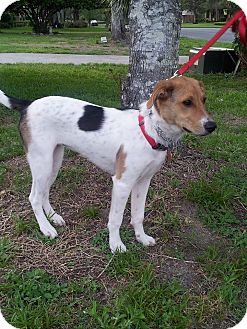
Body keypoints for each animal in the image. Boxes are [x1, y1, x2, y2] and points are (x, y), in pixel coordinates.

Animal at [0, 76, 216, 251]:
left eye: (204, 100)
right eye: (187, 102)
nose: (212, 126)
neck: (150, 129)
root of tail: (28, 104)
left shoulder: (143, 182)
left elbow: (138, 215)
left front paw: (141, 238)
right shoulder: (122, 183)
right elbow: (116, 219)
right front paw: (116, 245)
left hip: (54, 162)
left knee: (44, 192)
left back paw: (53, 217)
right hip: (42, 163)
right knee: (34, 197)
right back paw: (46, 228)